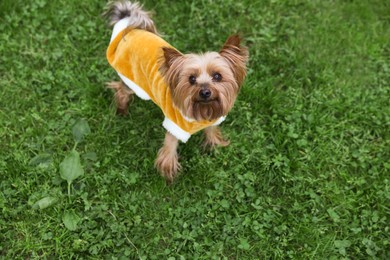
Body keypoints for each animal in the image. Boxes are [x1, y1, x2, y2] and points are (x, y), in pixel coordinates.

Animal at [105, 0, 248, 183]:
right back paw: (122, 110)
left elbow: (211, 131)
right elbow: (169, 150)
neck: (202, 109)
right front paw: (169, 177)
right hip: (131, 79)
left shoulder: (211, 118)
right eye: (191, 79)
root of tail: (130, 28)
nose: (205, 92)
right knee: (122, 91)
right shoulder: (174, 126)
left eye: (217, 76)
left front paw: (214, 145)